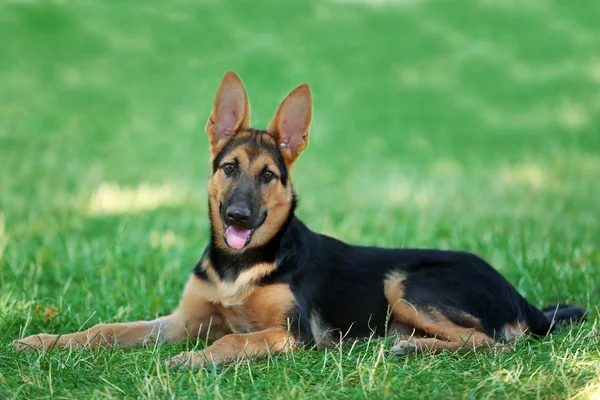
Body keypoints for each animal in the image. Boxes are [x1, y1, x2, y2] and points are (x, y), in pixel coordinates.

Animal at [15, 70, 584, 368]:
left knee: (489, 342)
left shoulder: (293, 335)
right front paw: (46, 342)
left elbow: (233, 338)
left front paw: (194, 360)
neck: (239, 266)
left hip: (405, 283)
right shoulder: (181, 320)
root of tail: (524, 300)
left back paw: (409, 345)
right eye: (229, 168)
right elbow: (108, 328)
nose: (238, 215)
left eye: (269, 175)